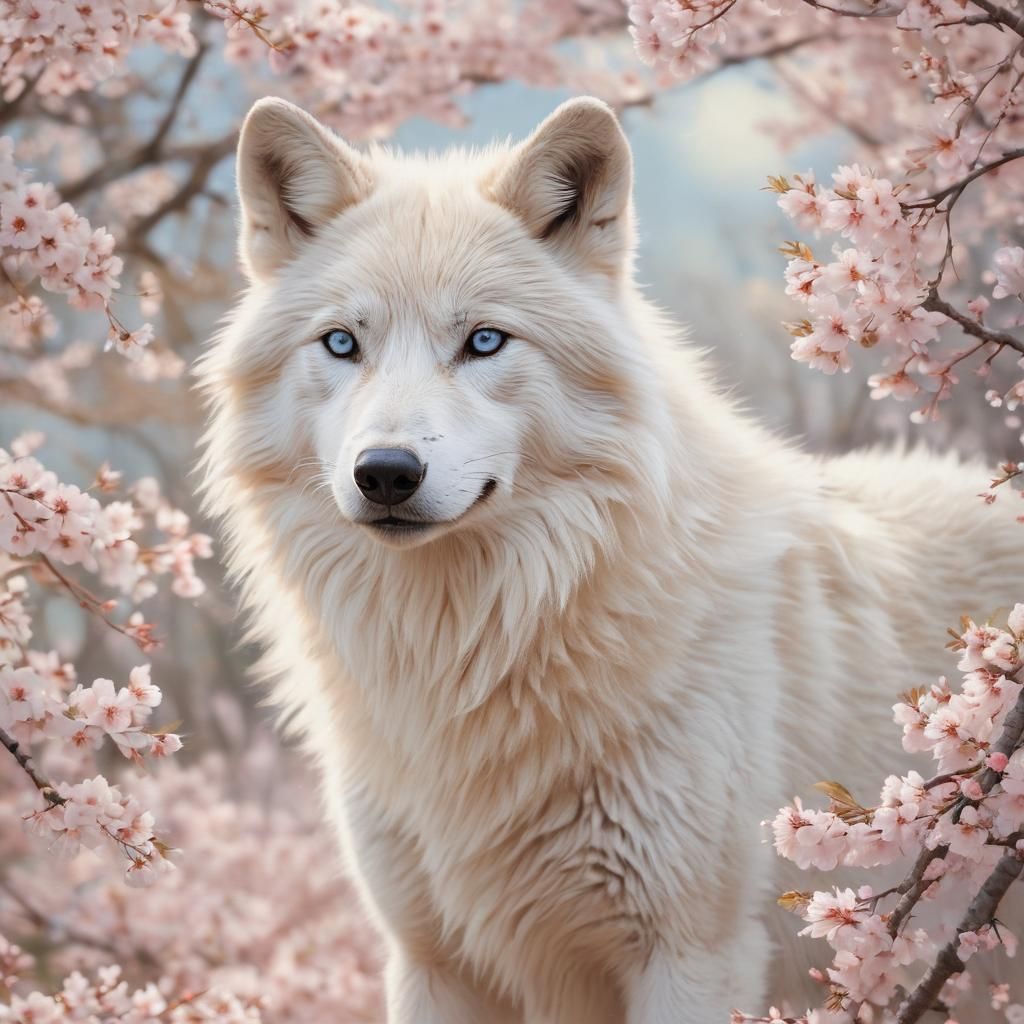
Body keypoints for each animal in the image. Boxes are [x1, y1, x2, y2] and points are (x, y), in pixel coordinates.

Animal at [198, 95, 1023, 1022]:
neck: (476, 650)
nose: (385, 473)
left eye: (485, 342)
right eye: (342, 344)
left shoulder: (692, 957)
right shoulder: (432, 963)